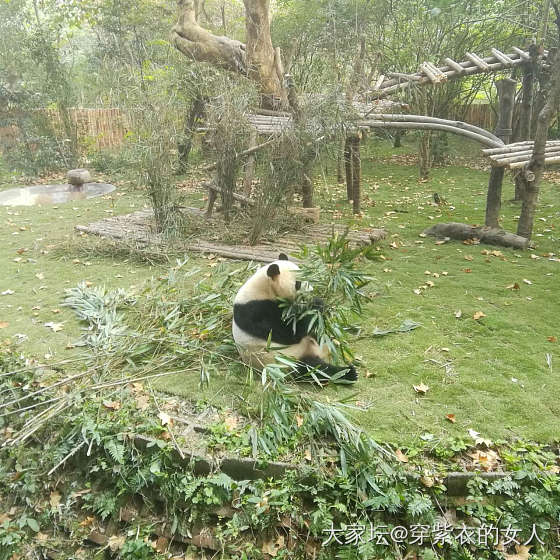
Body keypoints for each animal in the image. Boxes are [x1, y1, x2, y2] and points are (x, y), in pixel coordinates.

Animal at [233, 254, 358, 384]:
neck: (263, 288)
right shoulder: (257, 311)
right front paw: (317, 304)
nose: (311, 291)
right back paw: (348, 373)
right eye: (298, 283)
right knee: (314, 368)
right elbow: (290, 333)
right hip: (286, 360)